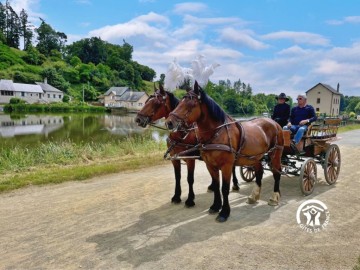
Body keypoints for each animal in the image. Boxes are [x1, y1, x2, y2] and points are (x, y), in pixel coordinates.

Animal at [165, 81, 286, 221]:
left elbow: (225, 188)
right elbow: (217, 186)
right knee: (259, 171)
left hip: (275, 154)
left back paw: (274, 197)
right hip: (255, 157)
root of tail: (274, 123)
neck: (217, 133)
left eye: (191, 104)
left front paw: (224, 212)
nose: (169, 122)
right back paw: (254, 196)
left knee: (276, 173)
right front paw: (215, 206)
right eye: (179, 102)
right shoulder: (210, 165)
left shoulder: (226, 166)